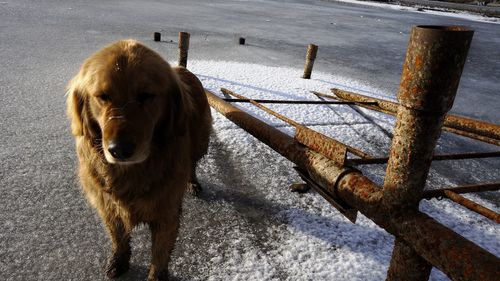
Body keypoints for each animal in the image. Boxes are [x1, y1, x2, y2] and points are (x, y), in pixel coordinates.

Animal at [66, 40, 211, 280]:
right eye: (102, 96)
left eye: (146, 95)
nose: (120, 150)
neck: (131, 172)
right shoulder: (108, 206)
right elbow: (119, 238)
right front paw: (119, 260)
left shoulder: (167, 213)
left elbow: (159, 256)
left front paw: (156, 276)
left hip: (201, 141)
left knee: (192, 163)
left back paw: (193, 183)